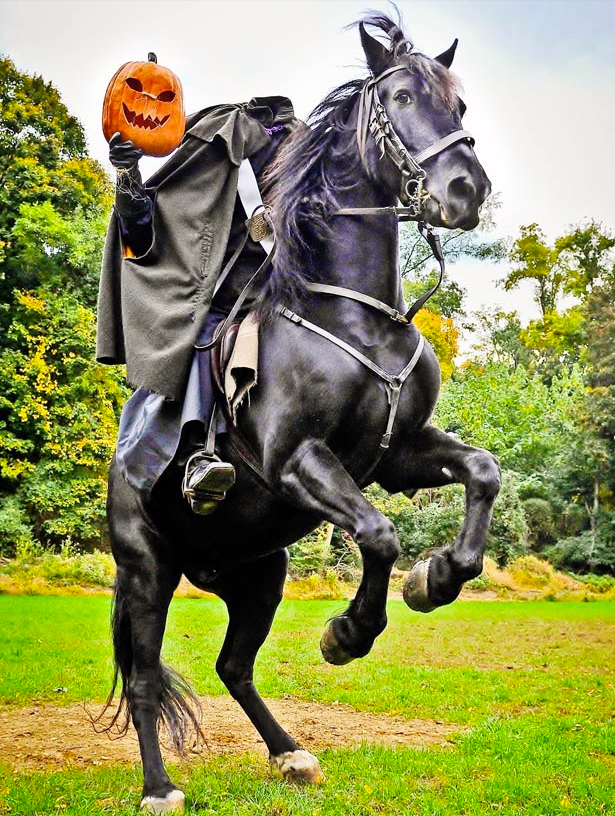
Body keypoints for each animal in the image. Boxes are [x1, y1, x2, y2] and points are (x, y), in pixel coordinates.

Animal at [103, 13, 501, 814]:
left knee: (233, 666)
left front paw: (438, 579)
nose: (464, 190)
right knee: (146, 676)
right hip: (147, 571)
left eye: (460, 105)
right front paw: (348, 633)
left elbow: (482, 471)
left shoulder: (396, 454)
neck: (357, 315)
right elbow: (378, 535)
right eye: (402, 97)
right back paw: (160, 787)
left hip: (259, 572)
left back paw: (289, 754)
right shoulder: (299, 460)